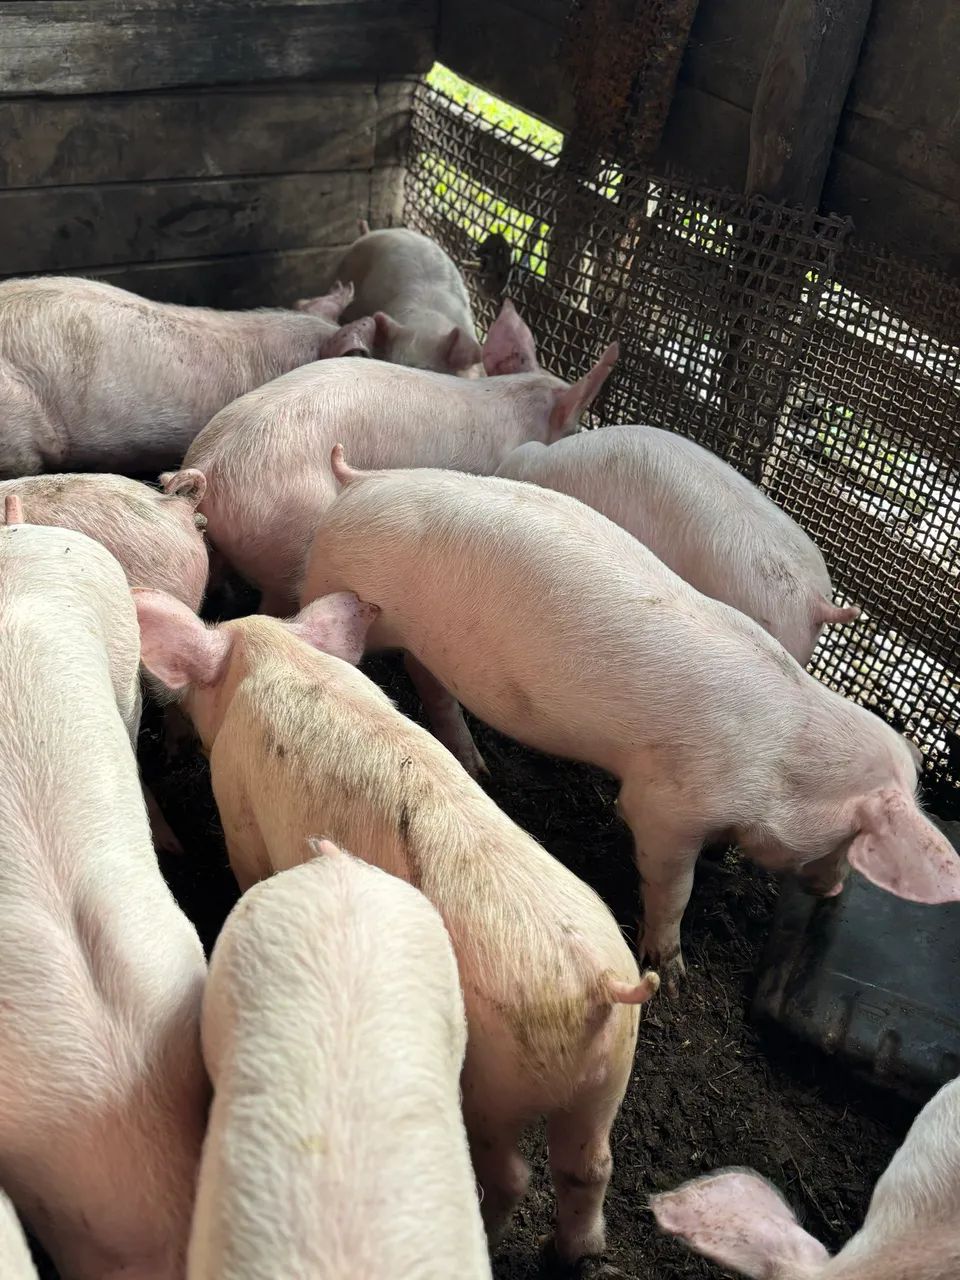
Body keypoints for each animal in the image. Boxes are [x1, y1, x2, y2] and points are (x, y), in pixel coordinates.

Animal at [300, 453, 960, 995]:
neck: (787, 761)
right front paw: (672, 974)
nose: (836, 890)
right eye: (854, 839)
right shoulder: (665, 805)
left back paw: (477, 766)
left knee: (431, 683)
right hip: (329, 579)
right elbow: (672, 884)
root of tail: (359, 481)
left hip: (426, 645)